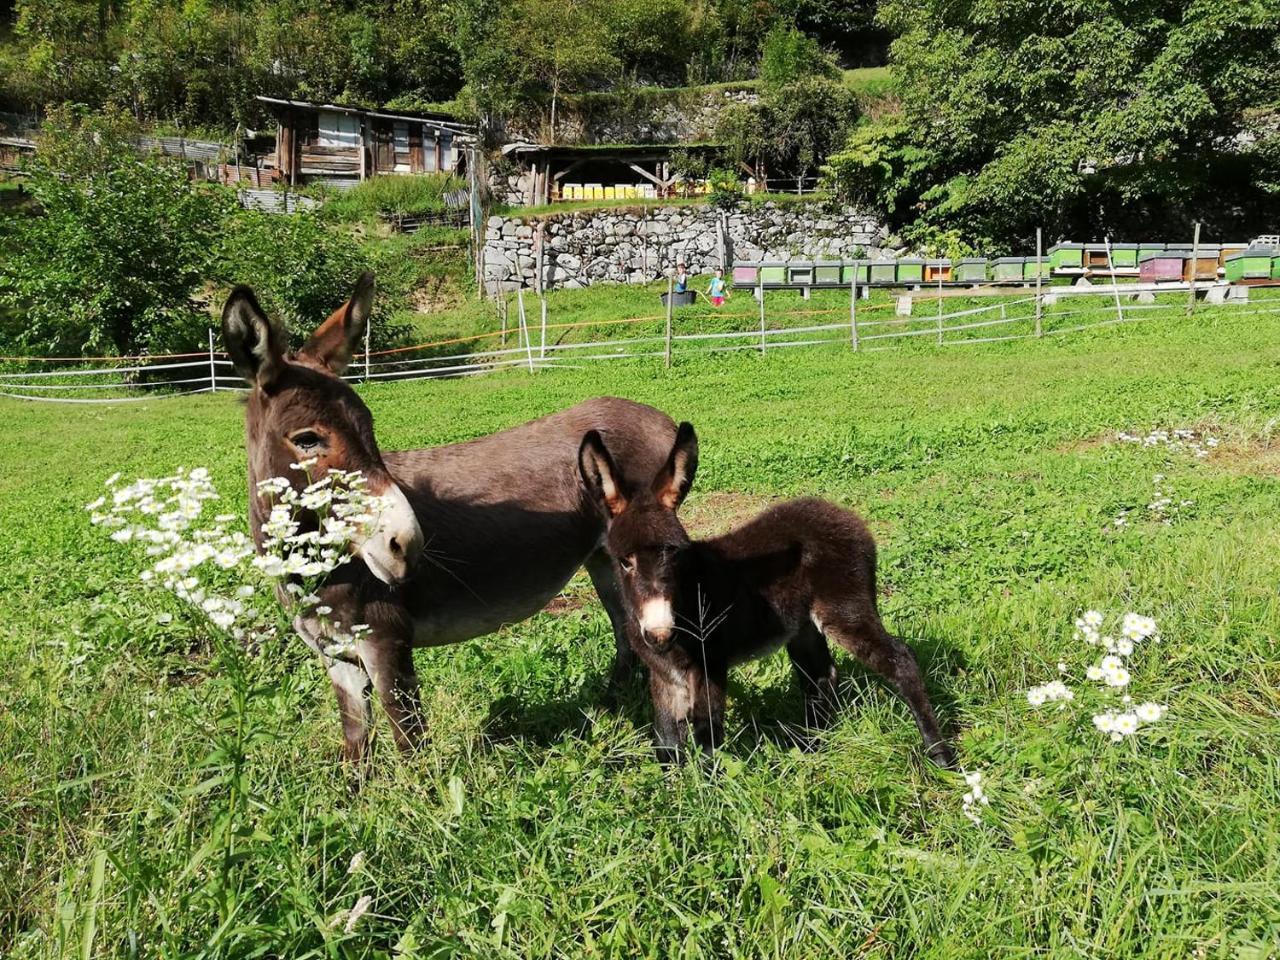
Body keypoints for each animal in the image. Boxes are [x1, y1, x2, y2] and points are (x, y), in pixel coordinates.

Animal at [576, 424, 957, 773]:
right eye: (624, 562)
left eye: (676, 555)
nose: (660, 634)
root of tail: (847, 516)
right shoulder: (664, 677)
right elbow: (667, 744)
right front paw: (676, 791)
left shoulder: (710, 663)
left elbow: (707, 738)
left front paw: (710, 792)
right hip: (803, 627)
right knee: (822, 676)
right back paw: (812, 748)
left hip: (845, 609)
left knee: (900, 660)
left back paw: (940, 755)